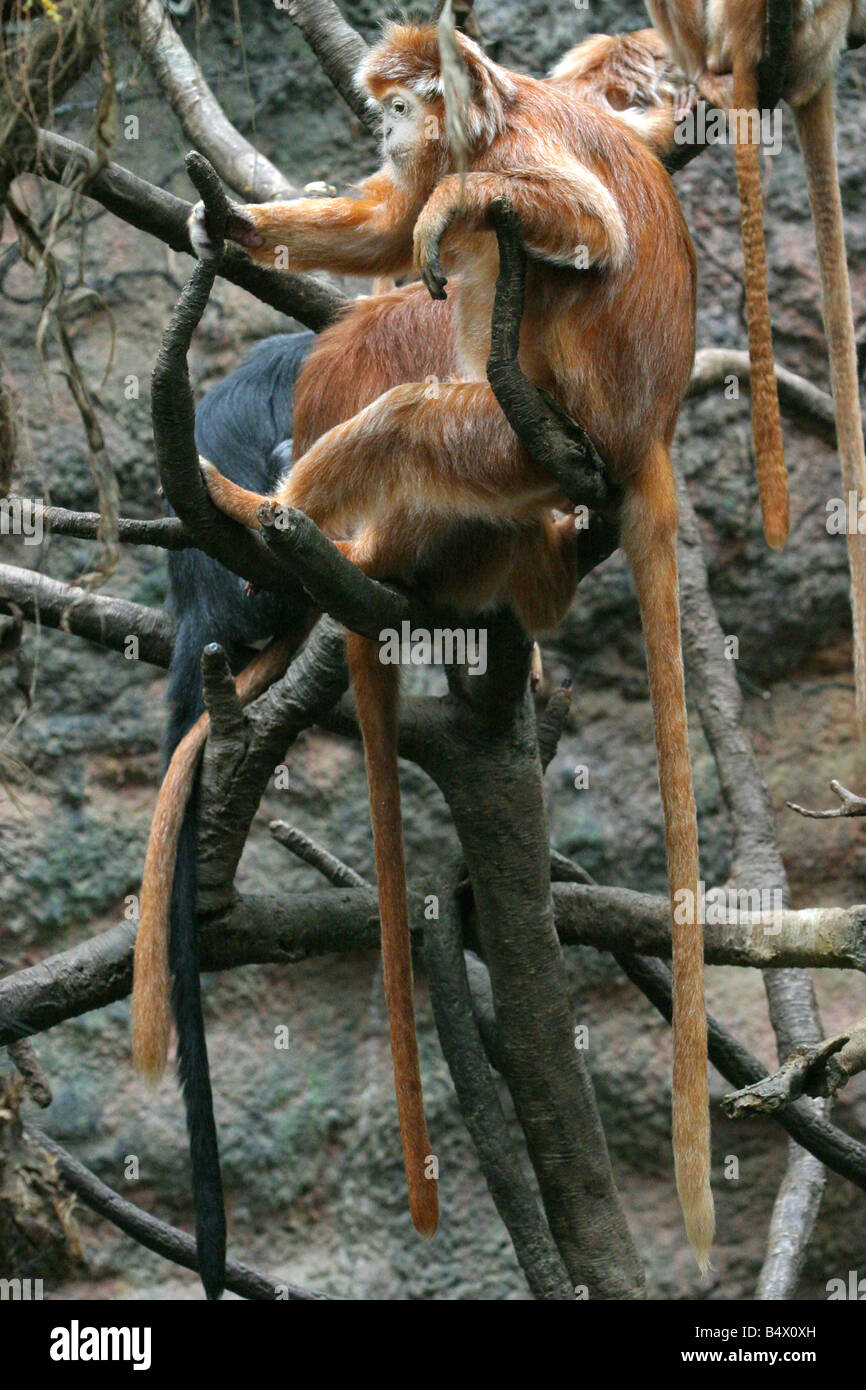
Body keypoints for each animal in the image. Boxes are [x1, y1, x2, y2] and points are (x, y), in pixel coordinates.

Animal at [130, 24, 697, 1301]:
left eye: (406, 100)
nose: (391, 128)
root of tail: (638, 439)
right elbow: (387, 233)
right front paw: (229, 224)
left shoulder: (525, 145)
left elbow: (577, 226)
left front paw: (463, 204)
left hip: (518, 437)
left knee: (407, 421)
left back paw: (269, 511)